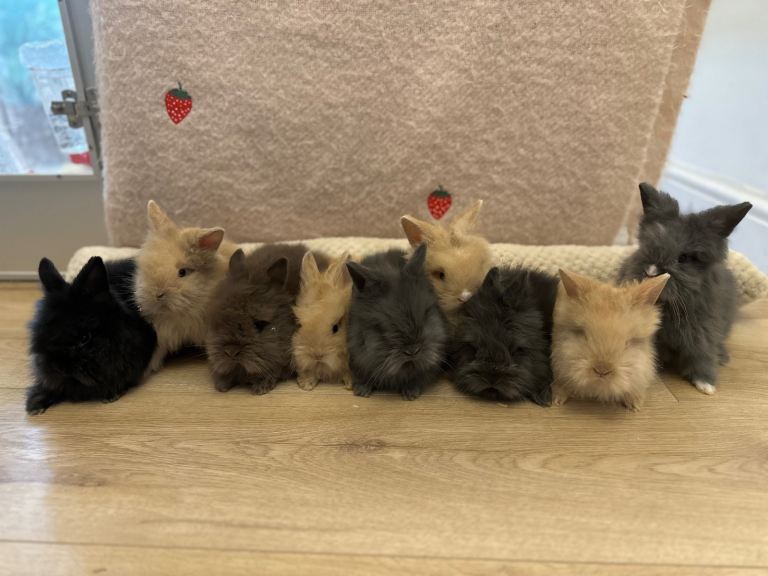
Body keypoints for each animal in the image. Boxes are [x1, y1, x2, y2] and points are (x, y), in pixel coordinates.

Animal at [134, 200, 238, 372]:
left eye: (182, 272)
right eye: (146, 267)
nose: (157, 295)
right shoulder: (163, 332)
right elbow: (158, 351)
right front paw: (148, 369)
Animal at [618, 183, 752, 395]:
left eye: (683, 258)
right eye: (647, 246)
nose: (651, 271)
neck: (668, 306)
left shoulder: (704, 332)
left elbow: (703, 354)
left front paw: (706, 385)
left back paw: (723, 357)